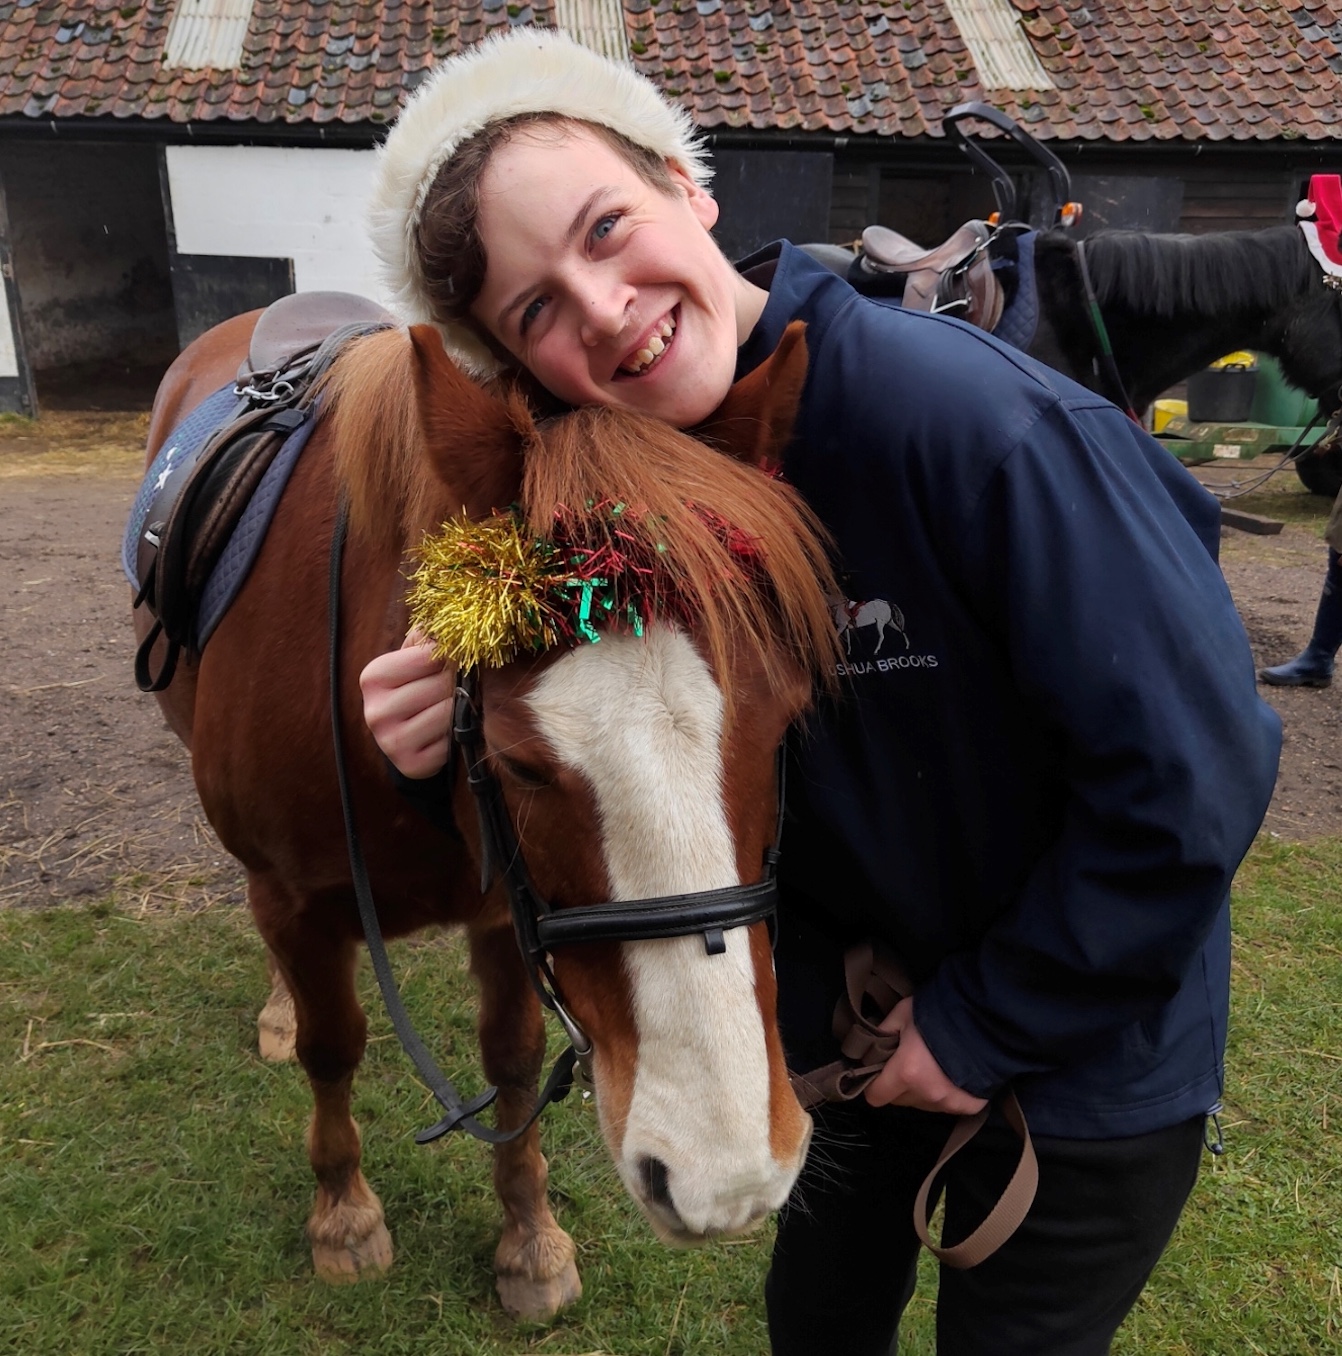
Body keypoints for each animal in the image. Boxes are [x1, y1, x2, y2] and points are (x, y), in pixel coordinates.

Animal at [133, 315, 837, 1318]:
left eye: (782, 724)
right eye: (518, 763)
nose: (727, 1175)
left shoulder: (510, 908)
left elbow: (512, 1060)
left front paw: (529, 1242)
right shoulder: (299, 900)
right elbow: (332, 1047)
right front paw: (343, 1215)